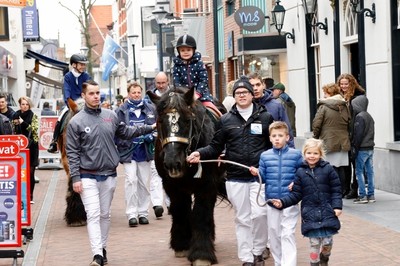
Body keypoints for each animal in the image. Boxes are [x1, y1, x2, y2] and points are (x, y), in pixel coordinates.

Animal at [148, 86, 228, 264]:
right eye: (160, 121)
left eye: (186, 120)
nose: (172, 162)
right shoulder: (172, 186)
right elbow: (180, 210)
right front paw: (181, 245)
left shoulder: (207, 185)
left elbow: (200, 214)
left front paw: (201, 254)